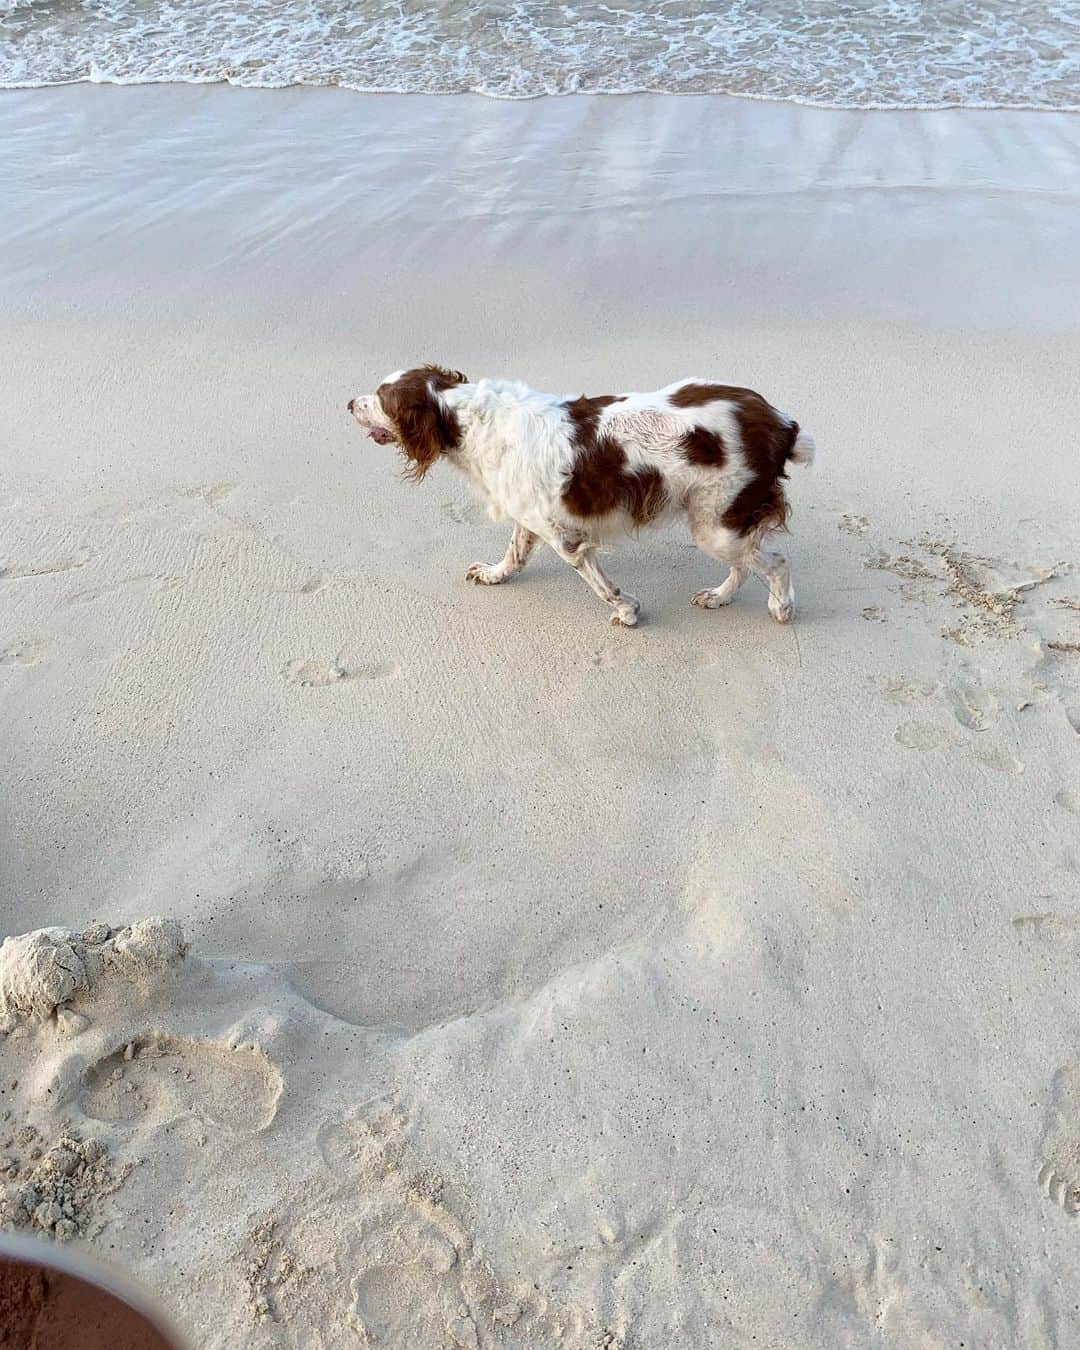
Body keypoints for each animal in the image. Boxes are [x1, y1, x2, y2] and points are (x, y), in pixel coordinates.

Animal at [351, 367, 815, 623]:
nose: (349, 402)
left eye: (380, 400)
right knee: (746, 564)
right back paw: (719, 598)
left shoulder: (567, 539)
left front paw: (627, 612)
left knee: (775, 562)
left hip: (717, 522)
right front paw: (494, 574)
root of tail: (781, 423)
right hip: (719, 522)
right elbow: (514, 554)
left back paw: (781, 610)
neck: (465, 418)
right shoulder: (530, 518)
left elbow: (602, 586)